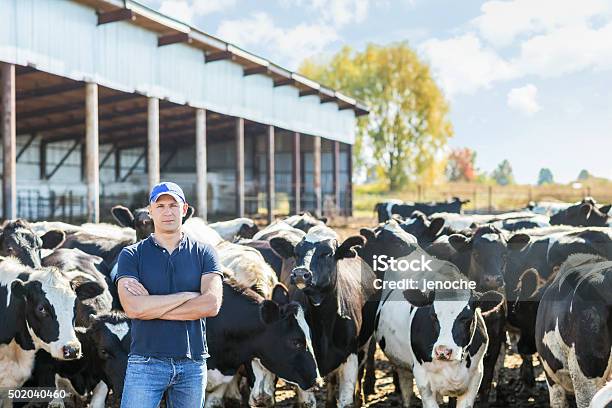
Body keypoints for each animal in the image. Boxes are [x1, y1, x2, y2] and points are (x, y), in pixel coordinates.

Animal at [270, 225, 376, 408]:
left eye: (327, 253)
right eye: (296, 252)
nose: (300, 273)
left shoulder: (350, 354)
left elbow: (346, 400)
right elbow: (307, 401)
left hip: (364, 345)